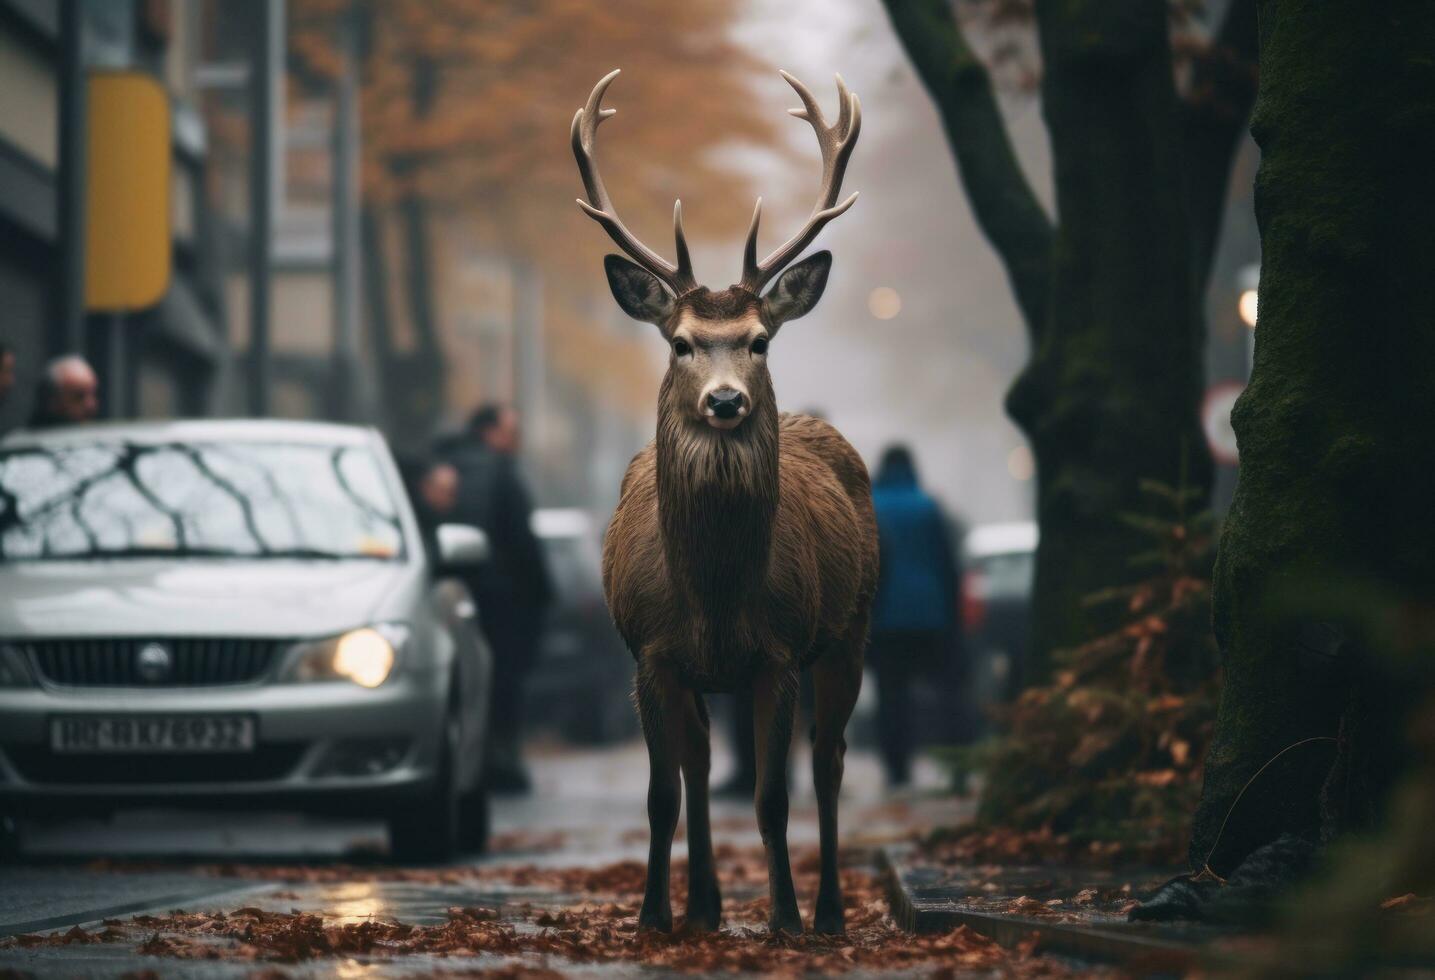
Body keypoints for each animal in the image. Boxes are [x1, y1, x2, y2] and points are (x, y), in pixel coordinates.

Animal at [571, 65, 872, 941]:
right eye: (680, 343)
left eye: (759, 339)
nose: (727, 400)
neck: (713, 594)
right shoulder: (648, 653)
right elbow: (660, 793)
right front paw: (652, 916)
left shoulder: (781, 650)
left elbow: (773, 799)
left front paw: (783, 920)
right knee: (701, 765)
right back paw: (703, 908)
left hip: (851, 629)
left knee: (829, 761)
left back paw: (828, 913)